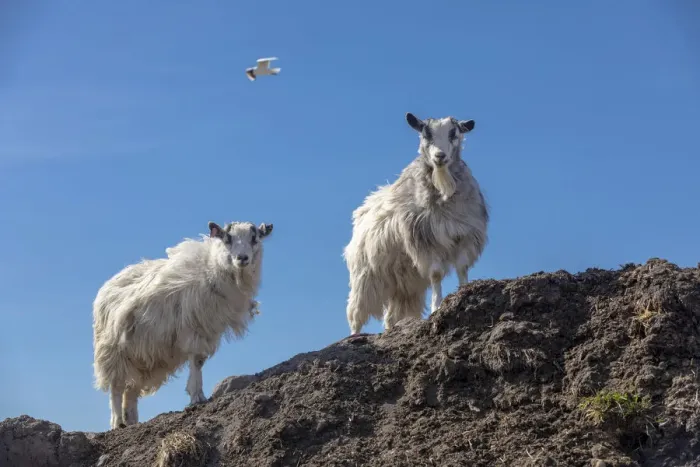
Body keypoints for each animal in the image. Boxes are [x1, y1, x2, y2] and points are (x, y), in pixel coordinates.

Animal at [92, 220, 273, 429]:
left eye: (255, 238)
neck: (211, 270)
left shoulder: (206, 331)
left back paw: (132, 421)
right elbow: (196, 361)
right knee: (116, 387)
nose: (242, 258)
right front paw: (197, 396)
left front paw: (197, 394)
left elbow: (199, 361)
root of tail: (108, 284)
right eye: (227, 239)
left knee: (131, 391)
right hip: (113, 352)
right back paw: (117, 422)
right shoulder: (192, 329)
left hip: (141, 355)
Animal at [343, 112, 489, 335]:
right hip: (365, 275)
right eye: (426, 134)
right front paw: (437, 307)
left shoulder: (464, 236)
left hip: (404, 282)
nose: (440, 156)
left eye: (454, 133)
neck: (443, 190)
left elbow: (462, 268)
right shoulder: (425, 240)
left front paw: (465, 293)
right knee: (356, 312)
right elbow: (436, 274)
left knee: (391, 315)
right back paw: (354, 336)